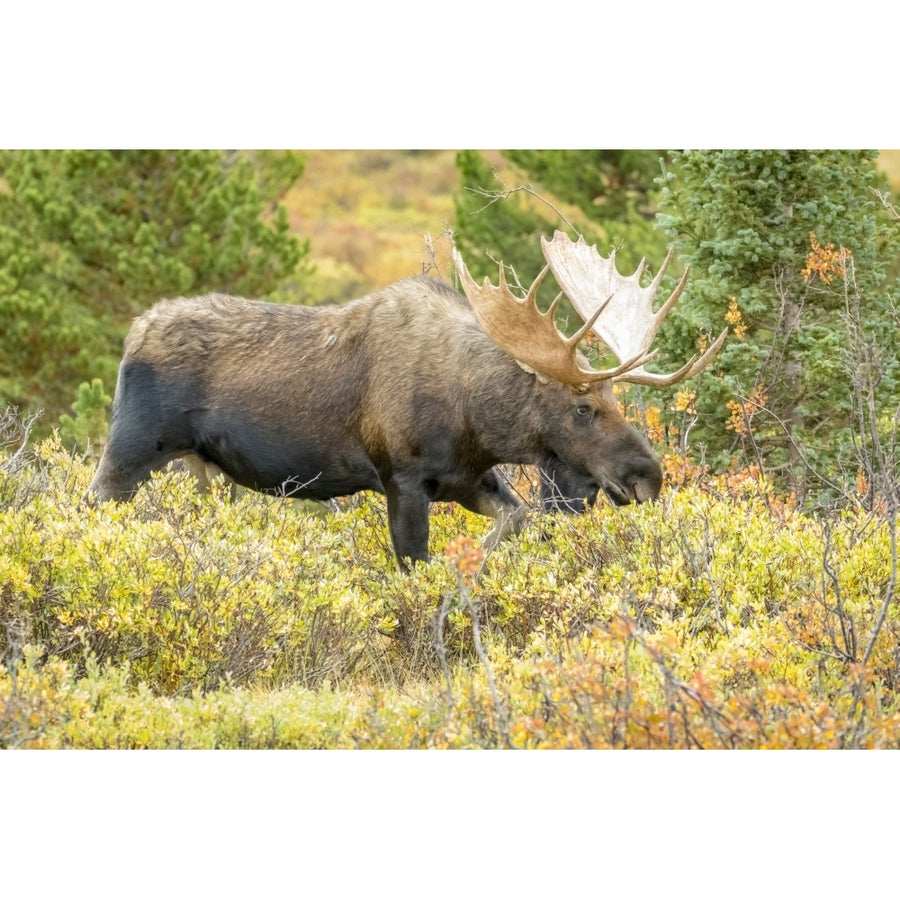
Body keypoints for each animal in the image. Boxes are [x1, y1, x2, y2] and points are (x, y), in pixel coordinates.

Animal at [88, 232, 728, 568]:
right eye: (582, 408)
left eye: (618, 399)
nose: (647, 477)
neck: (478, 422)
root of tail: (131, 333)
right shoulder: (401, 478)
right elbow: (414, 566)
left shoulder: (468, 478)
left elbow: (517, 519)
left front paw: (473, 563)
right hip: (129, 452)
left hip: (200, 471)